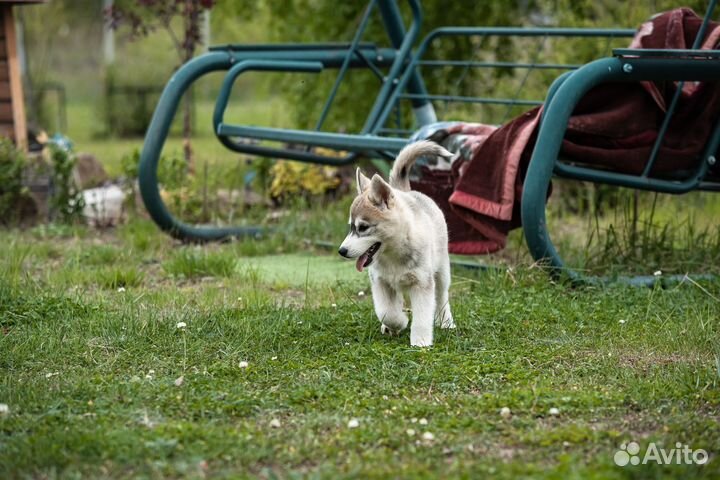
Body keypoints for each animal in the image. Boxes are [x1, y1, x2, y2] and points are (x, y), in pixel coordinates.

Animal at [338, 141, 456, 346]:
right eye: (351, 227)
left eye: (363, 227)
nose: (342, 251)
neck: (393, 253)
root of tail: (407, 192)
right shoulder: (380, 282)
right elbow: (387, 312)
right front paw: (398, 323)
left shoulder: (422, 284)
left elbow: (422, 316)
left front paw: (420, 341)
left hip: (442, 271)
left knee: (442, 296)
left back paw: (446, 321)